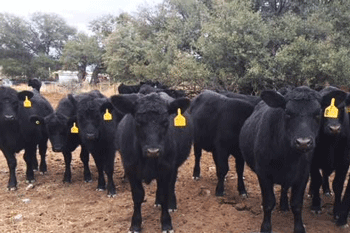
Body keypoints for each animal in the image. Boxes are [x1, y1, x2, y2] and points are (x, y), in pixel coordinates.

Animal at [112, 93, 193, 233]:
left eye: (165, 122)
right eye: (138, 122)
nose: (153, 151)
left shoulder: (167, 168)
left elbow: (165, 192)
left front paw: (166, 223)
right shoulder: (130, 169)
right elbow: (138, 195)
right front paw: (135, 224)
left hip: (174, 166)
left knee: (171, 185)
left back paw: (172, 204)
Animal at [239, 86, 340, 233]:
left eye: (318, 113)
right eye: (287, 112)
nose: (303, 143)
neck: (287, 157)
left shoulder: (303, 175)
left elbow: (297, 204)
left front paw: (299, 228)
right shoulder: (263, 174)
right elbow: (269, 202)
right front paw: (266, 227)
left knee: (285, 188)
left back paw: (284, 205)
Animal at [308, 86, 348, 219]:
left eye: (342, 108)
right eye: (321, 108)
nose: (334, 128)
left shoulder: (344, 162)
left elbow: (338, 185)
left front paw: (337, 211)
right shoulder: (312, 161)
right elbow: (316, 179)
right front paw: (315, 206)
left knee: (325, 174)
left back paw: (326, 190)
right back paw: (311, 192)